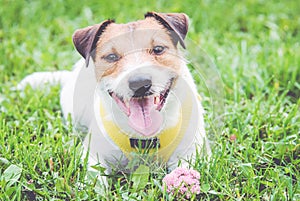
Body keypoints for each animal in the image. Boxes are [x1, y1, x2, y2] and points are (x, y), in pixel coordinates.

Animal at [18, 11, 211, 177]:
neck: (144, 138)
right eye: (111, 57)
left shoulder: (192, 152)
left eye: (157, 49)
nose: (139, 83)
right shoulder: (94, 154)